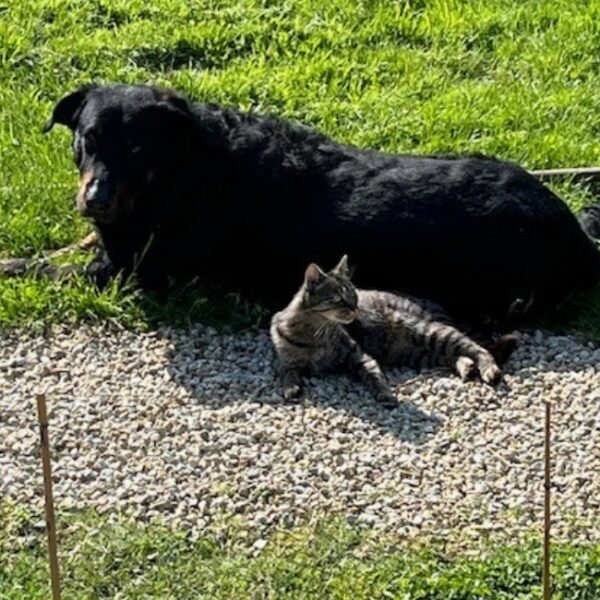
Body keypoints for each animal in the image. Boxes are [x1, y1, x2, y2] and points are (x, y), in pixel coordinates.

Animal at [43, 83, 600, 324]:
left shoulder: (126, 268)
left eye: (139, 149)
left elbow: (42, 268)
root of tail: (577, 238)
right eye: (88, 140)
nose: (97, 200)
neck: (186, 169)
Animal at [272, 255, 516, 406]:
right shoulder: (288, 361)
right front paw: (291, 388)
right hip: (418, 354)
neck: (314, 334)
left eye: (354, 295)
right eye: (339, 299)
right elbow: (287, 372)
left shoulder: (358, 355)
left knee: (476, 348)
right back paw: (466, 367)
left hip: (430, 332)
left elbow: (374, 377)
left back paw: (488, 368)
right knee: (454, 355)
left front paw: (385, 394)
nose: (355, 308)